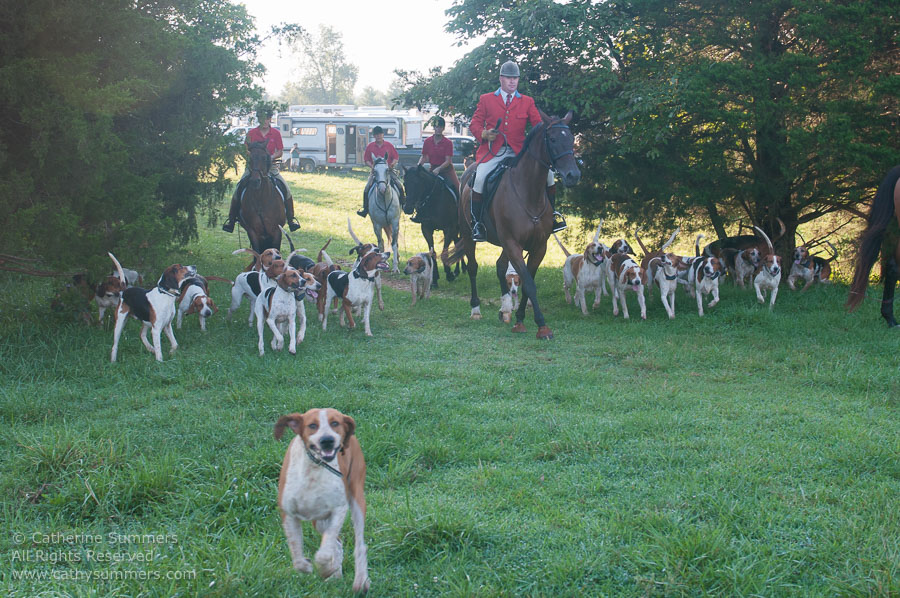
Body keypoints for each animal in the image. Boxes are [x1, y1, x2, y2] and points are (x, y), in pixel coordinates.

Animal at [278, 408, 370, 596]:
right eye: (312, 425)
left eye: (335, 423)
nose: (327, 440)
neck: (313, 470)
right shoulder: (289, 515)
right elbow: (298, 560)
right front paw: (310, 567)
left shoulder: (339, 509)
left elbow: (324, 554)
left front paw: (325, 569)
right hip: (319, 522)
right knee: (338, 543)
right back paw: (336, 574)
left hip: (356, 498)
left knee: (359, 544)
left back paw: (360, 580)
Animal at [454, 110, 580, 340]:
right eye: (553, 139)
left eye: (571, 138)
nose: (573, 175)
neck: (529, 192)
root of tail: (470, 169)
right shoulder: (513, 243)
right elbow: (528, 283)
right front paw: (541, 325)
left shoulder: (538, 246)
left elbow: (527, 281)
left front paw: (520, 318)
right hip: (469, 235)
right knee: (473, 267)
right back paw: (475, 309)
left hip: (504, 243)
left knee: (500, 266)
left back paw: (505, 309)